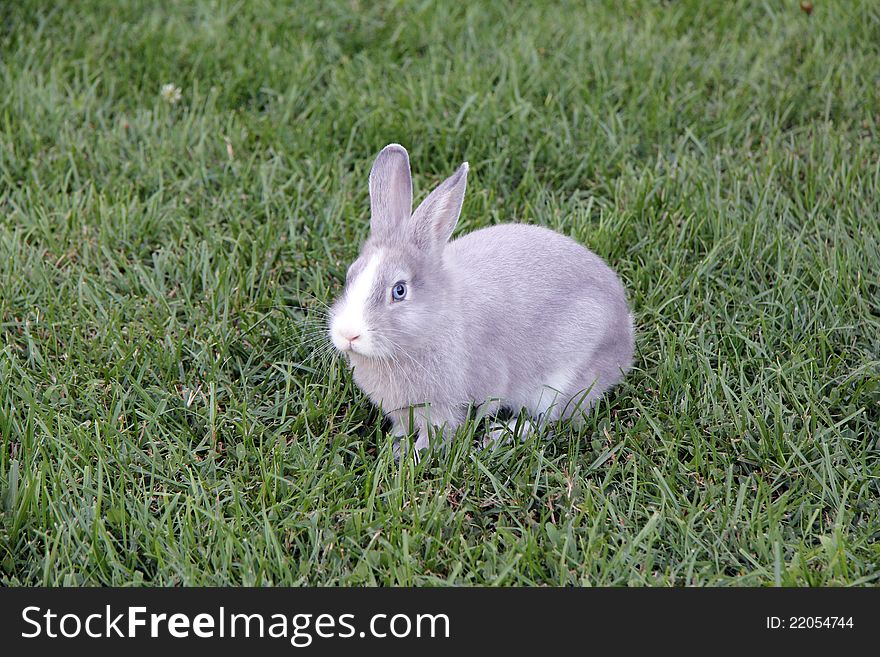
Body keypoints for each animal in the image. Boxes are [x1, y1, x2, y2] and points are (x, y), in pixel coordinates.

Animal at [328, 144, 632, 454]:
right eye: (350, 275)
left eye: (399, 291)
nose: (348, 334)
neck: (434, 323)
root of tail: (625, 337)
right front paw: (396, 448)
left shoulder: (444, 409)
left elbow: (438, 433)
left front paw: (413, 455)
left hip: (565, 380)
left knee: (553, 421)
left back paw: (500, 435)